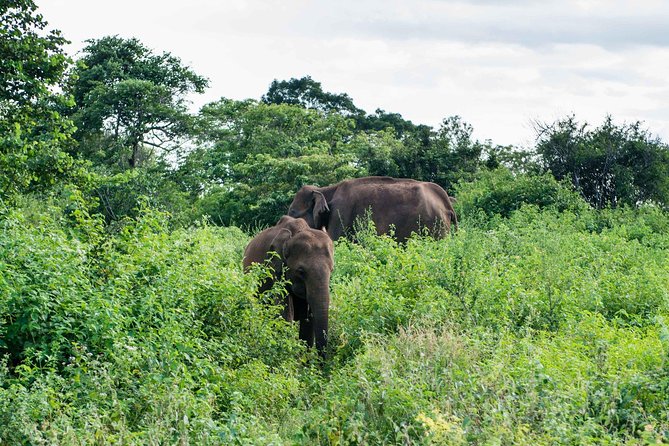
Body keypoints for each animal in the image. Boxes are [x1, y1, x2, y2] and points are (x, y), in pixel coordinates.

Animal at [243, 216, 334, 356]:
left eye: (332, 270)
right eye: (301, 271)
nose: (322, 360)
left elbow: (308, 322)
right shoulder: (275, 270)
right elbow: (284, 314)